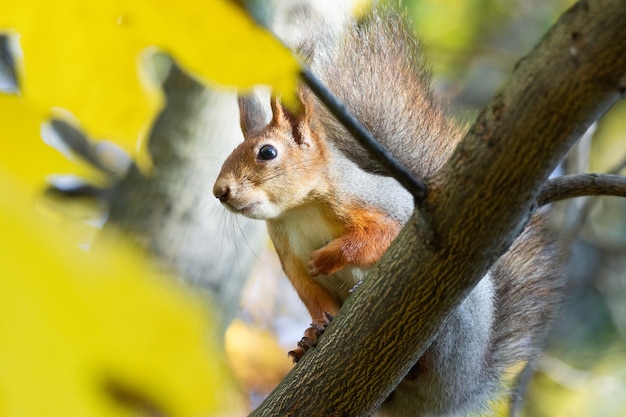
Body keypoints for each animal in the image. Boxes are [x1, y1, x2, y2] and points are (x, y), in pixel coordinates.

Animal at [212, 6, 564, 416]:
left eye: (267, 152)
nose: (220, 191)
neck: (297, 211)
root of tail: (458, 391)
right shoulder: (287, 253)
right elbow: (310, 291)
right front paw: (314, 331)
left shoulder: (379, 207)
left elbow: (383, 236)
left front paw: (330, 256)